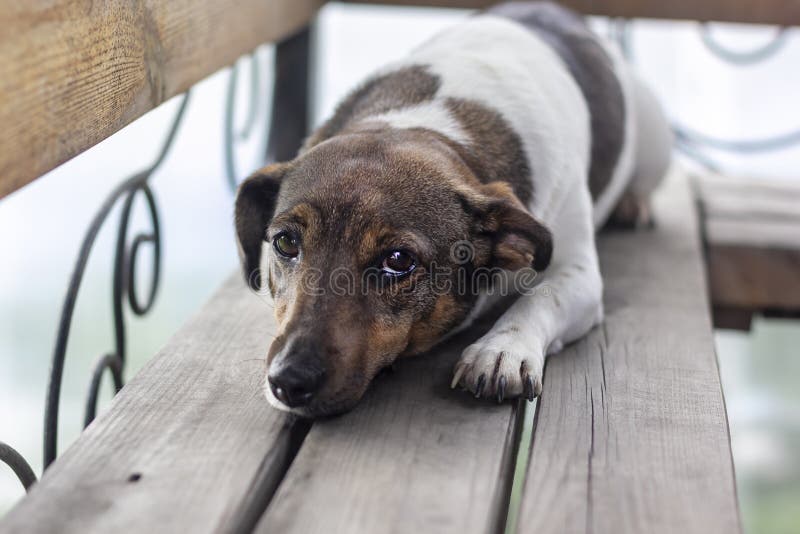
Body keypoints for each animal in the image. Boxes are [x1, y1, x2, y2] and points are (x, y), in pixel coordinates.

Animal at [234, 1, 672, 418]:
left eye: (398, 260)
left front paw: (501, 351)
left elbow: (543, 296)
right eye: (285, 243)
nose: (289, 381)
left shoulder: (580, 275)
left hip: (655, 141)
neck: (428, 121)